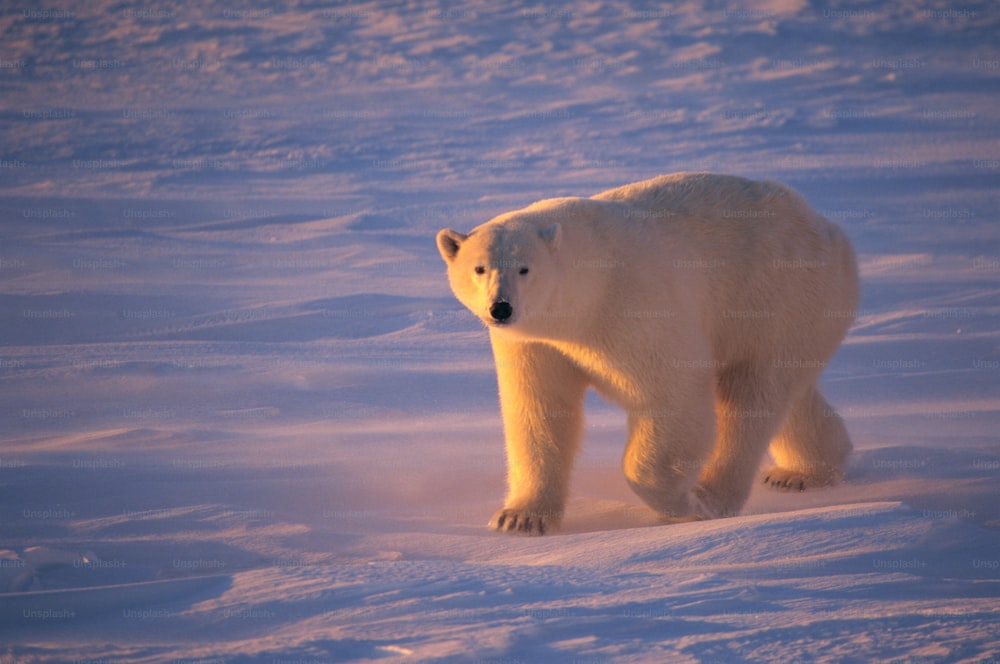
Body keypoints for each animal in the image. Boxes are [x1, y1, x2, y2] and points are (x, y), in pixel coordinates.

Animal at [438, 172, 860, 536]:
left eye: (525, 269)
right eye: (479, 268)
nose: (501, 308)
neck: (588, 291)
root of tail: (831, 230)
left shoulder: (634, 306)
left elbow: (670, 394)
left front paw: (681, 502)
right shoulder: (535, 343)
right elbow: (539, 410)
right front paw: (519, 518)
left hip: (778, 292)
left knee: (751, 395)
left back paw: (713, 496)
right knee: (790, 390)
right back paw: (803, 473)